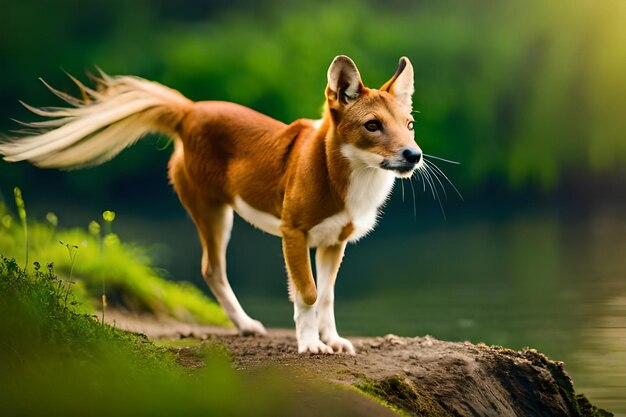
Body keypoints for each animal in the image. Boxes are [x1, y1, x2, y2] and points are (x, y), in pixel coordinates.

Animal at [0, 55, 422, 352]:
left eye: (409, 125)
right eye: (372, 125)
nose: (414, 155)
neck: (348, 172)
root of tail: (189, 110)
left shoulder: (334, 242)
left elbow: (328, 296)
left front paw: (331, 339)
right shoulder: (294, 234)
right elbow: (307, 293)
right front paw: (309, 345)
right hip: (213, 211)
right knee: (212, 269)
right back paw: (247, 325)